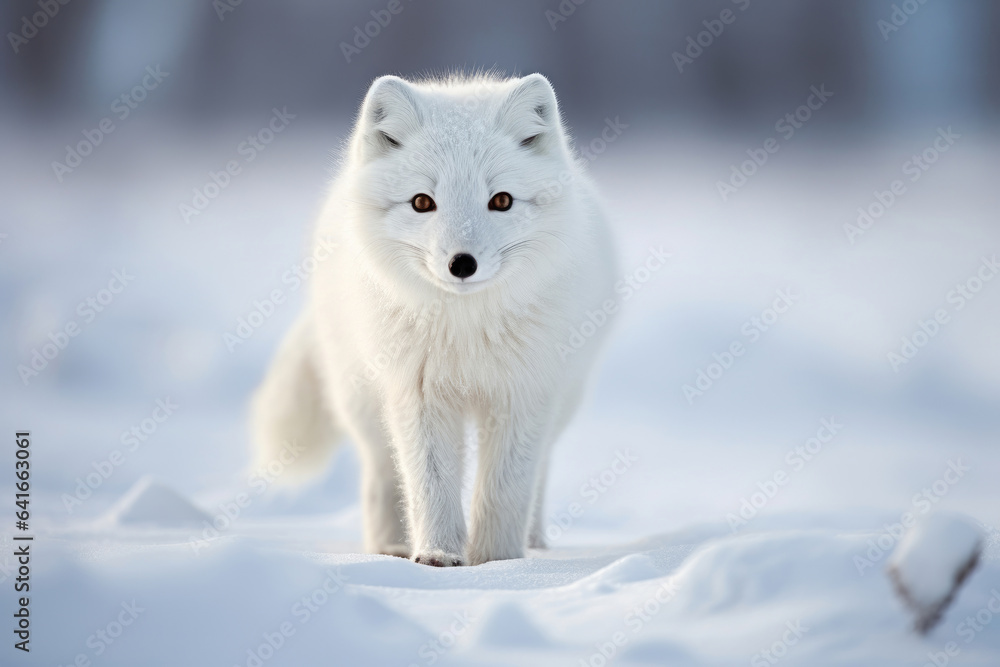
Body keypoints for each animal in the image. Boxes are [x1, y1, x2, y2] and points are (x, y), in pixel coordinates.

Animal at [252, 72, 616, 564]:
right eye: (422, 202)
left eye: (501, 200)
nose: (462, 264)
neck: (466, 331)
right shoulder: (417, 391)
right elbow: (430, 484)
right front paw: (440, 556)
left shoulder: (524, 392)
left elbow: (506, 489)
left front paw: (499, 562)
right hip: (363, 402)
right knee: (383, 475)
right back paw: (390, 547)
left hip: (562, 401)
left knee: (540, 473)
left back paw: (535, 544)